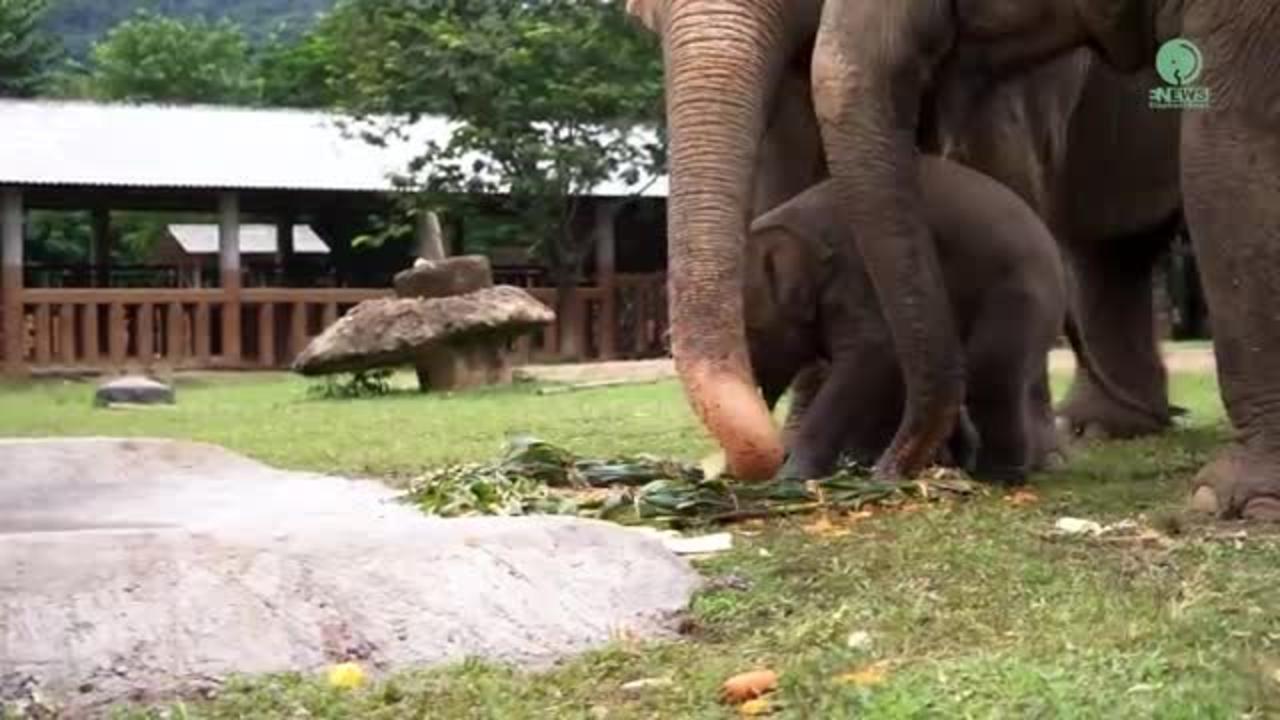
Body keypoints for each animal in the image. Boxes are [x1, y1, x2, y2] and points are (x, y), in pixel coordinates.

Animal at [747, 155, 1064, 481]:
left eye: (751, 331)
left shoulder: (855, 278)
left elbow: (877, 352)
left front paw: (793, 477)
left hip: (1020, 297)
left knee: (992, 379)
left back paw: (995, 476)